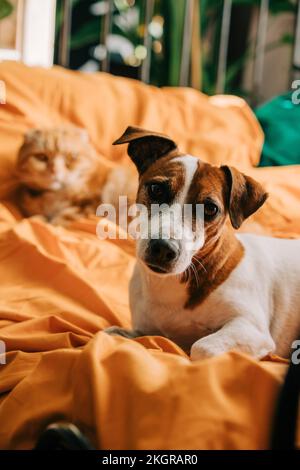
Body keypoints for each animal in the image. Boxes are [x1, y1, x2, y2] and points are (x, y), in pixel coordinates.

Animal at [105, 126, 300, 360]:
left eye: (210, 209)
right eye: (156, 189)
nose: (163, 249)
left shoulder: (251, 328)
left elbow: (201, 347)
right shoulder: (145, 329)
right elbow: (117, 334)